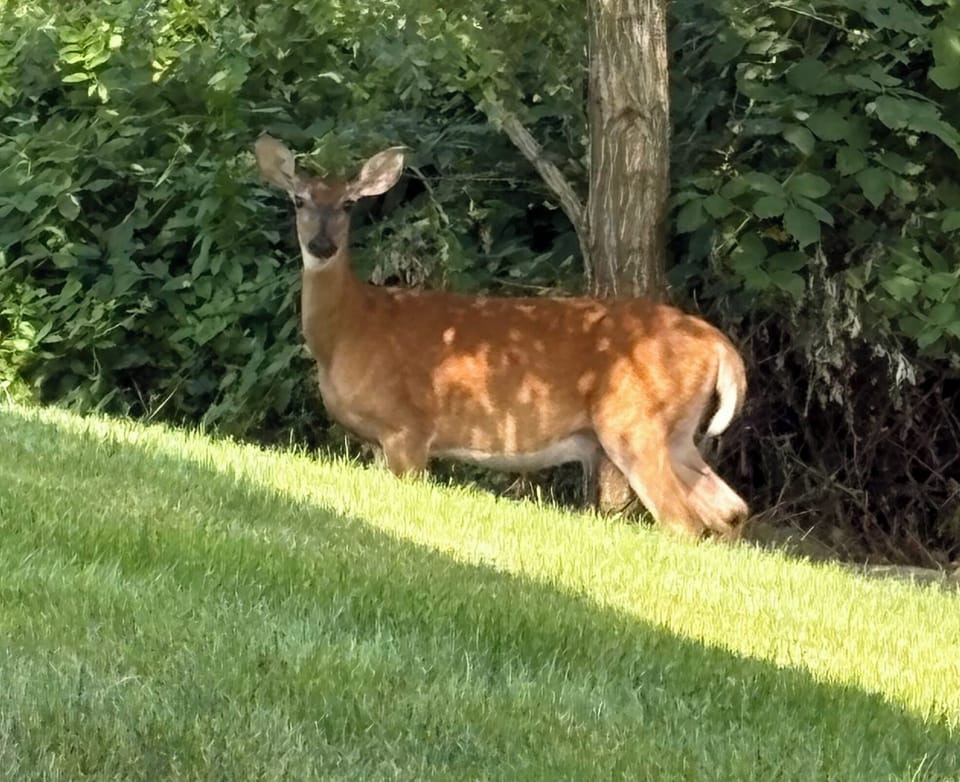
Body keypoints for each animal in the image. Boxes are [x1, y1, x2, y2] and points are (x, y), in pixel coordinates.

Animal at [254, 134, 750, 539]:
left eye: (347, 204)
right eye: (298, 200)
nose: (321, 246)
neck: (350, 330)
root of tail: (717, 343)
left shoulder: (407, 428)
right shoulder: (379, 442)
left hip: (632, 420)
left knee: (681, 520)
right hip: (677, 432)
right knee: (731, 509)